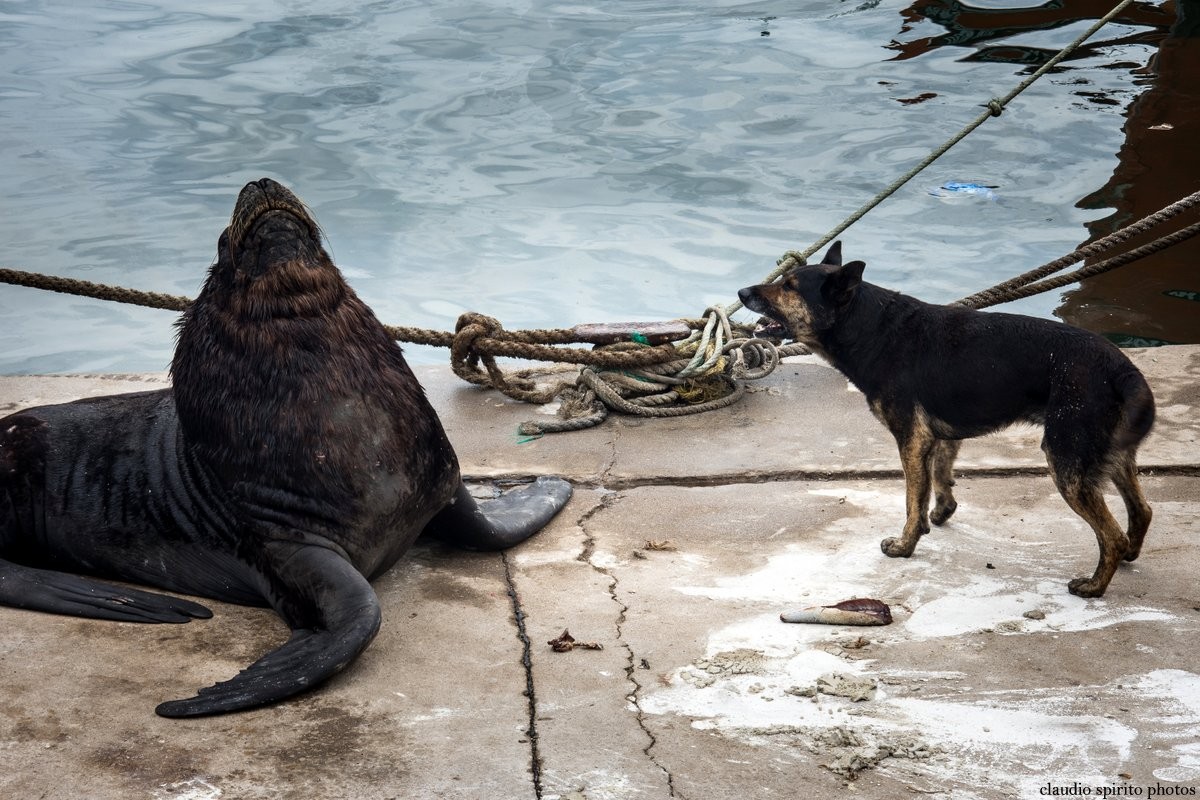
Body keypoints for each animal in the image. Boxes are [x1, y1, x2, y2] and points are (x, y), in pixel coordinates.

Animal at [734, 241, 1156, 597]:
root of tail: (1120, 368)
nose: (741, 293)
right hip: (1108, 455)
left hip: (1067, 462)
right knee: (1142, 511)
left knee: (1112, 535)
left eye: (789, 286)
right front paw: (940, 512)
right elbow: (939, 474)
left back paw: (1094, 586)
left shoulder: (910, 437)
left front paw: (905, 544)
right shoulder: (938, 435)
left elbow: (911, 498)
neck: (869, 326)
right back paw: (1128, 556)